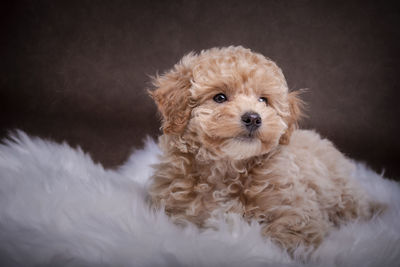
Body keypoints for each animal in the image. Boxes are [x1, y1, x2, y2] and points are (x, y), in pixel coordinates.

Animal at [148, 46, 378, 255]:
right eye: (220, 98)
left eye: (263, 100)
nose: (253, 118)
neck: (228, 167)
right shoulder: (180, 212)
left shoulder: (297, 208)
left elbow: (288, 232)